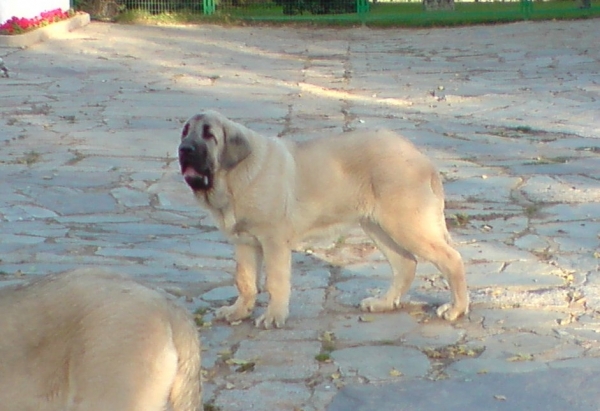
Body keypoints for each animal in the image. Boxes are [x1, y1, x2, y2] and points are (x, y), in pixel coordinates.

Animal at [178, 111, 468, 330]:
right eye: (185, 132)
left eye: (209, 135)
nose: (184, 149)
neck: (234, 176)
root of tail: (421, 157)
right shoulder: (245, 243)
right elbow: (245, 280)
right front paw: (238, 311)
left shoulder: (273, 241)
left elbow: (275, 281)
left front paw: (273, 316)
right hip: (377, 226)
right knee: (406, 263)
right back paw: (384, 303)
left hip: (406, 224)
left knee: (451, 259)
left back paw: (456, 309)